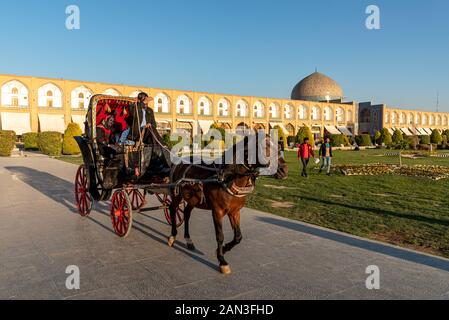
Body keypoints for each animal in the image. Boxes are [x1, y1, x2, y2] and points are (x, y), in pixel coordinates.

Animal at [165, 134, 276, 274]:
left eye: (272, 144)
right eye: (260, 145)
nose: (277, 166)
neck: (228, 179)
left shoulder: (235, 212)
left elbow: (238, 236)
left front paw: (224, 248)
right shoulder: (217, 212)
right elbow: (220, 236)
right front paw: (222, 260)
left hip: (193, 199)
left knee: (186, 213)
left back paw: (188, 240)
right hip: (176, 195)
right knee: (172, 209)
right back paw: (172, 236)